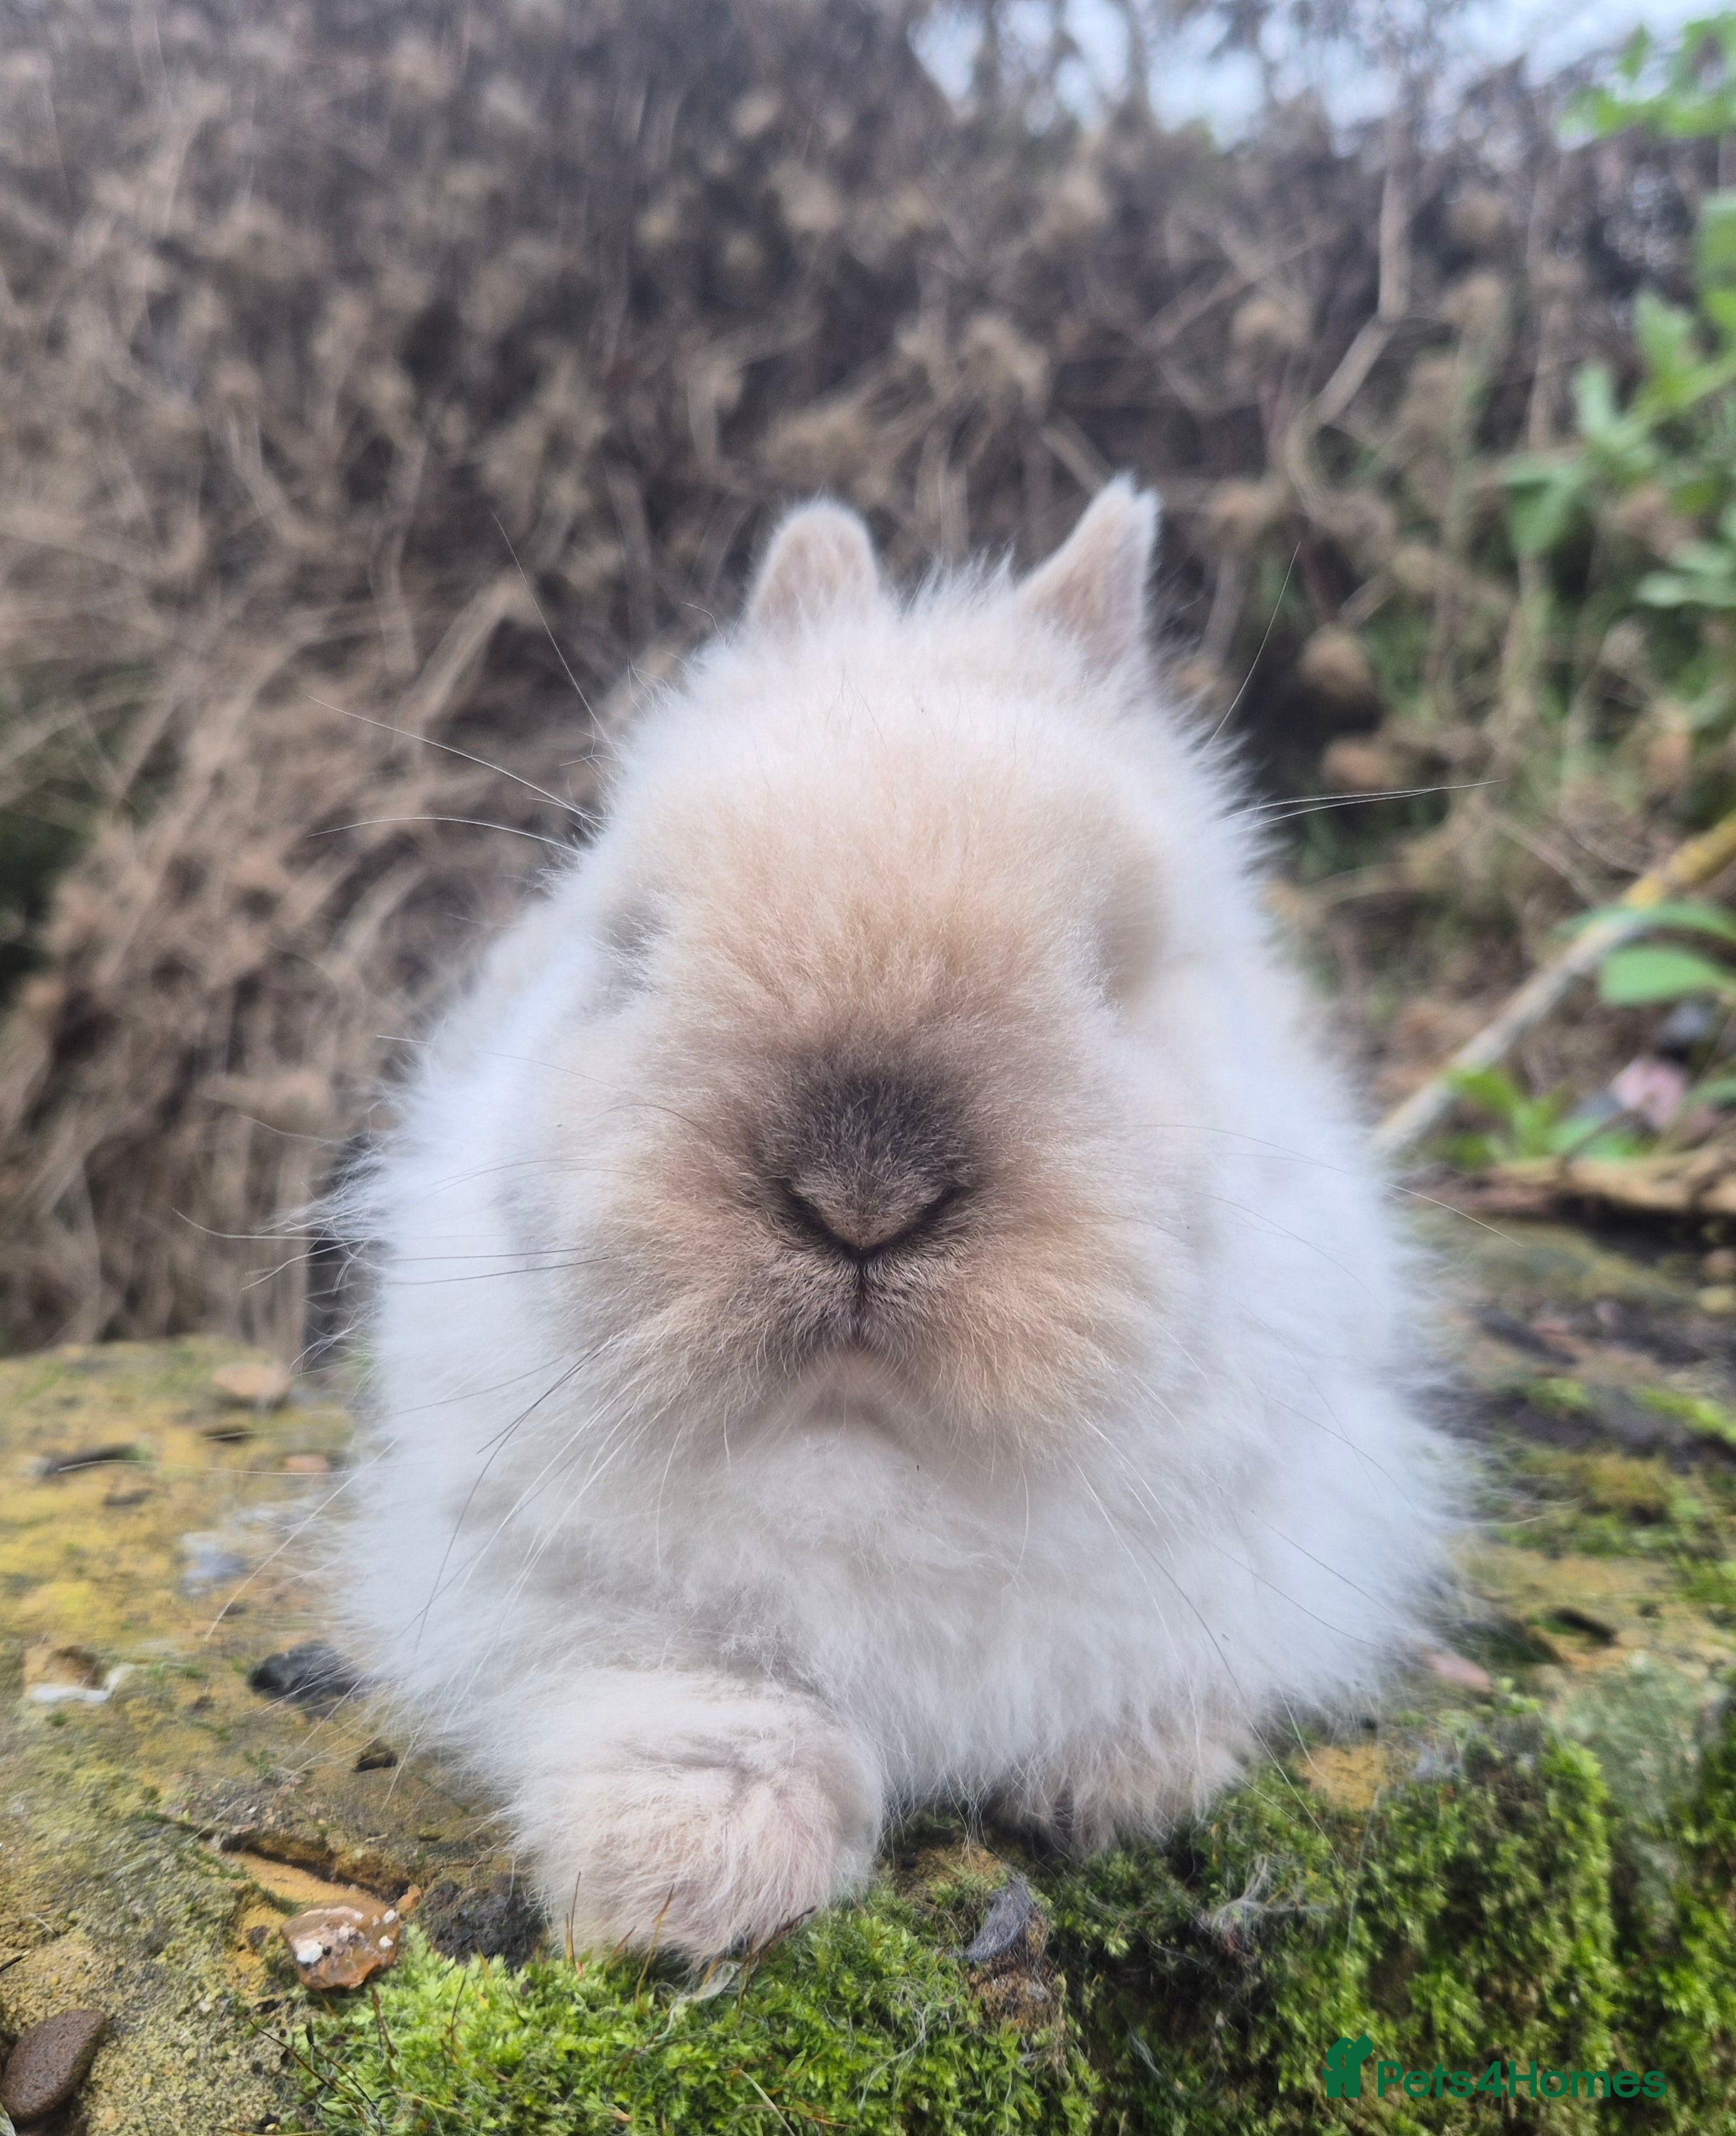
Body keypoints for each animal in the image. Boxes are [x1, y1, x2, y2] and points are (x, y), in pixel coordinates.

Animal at [339, 478, 1455, 1960]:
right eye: (630, 947)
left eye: (1116, 963)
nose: (861, 1198)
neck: (865, 1454)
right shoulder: (557, 1589)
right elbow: (700, 1692)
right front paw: (679, 1875)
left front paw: (1121, 1781)